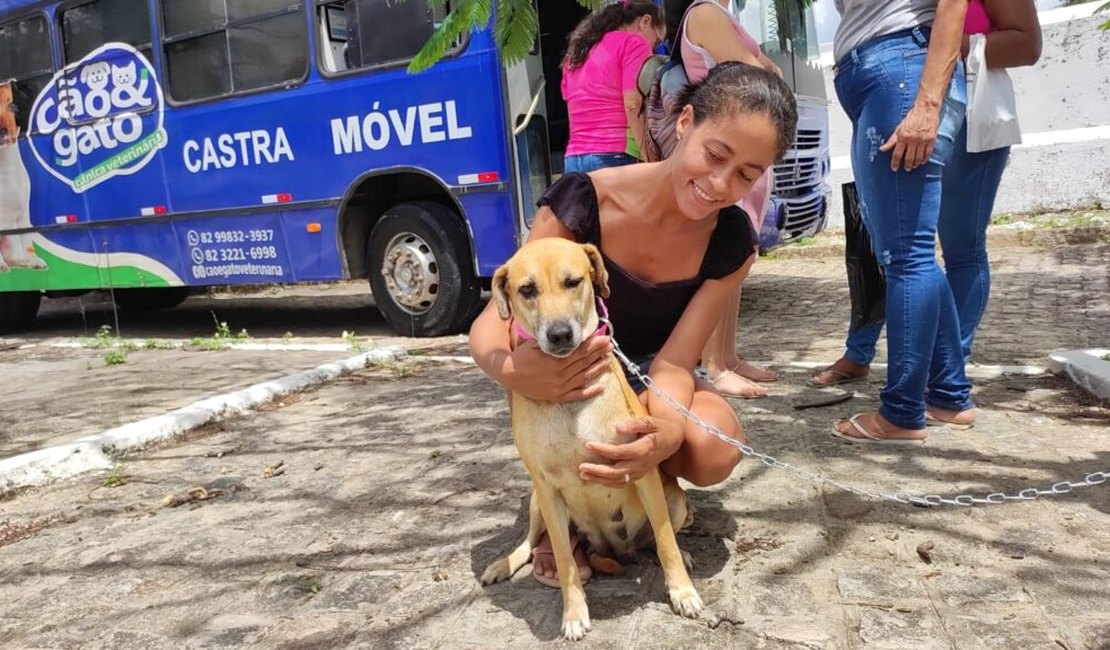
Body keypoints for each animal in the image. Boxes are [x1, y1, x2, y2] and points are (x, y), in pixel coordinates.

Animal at [479, 236, 701, 638]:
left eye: (573, 281)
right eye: (527, 289)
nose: (560, 334)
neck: (572, 402)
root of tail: (613, 552)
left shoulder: (642, 469)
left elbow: (665, 542)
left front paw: (682, 591)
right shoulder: (547, 489)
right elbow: (565, 560)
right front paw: (574, 613)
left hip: (676, 501)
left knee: (656, 540)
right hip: (536, 503)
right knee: (531, 543)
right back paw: (503, 564)